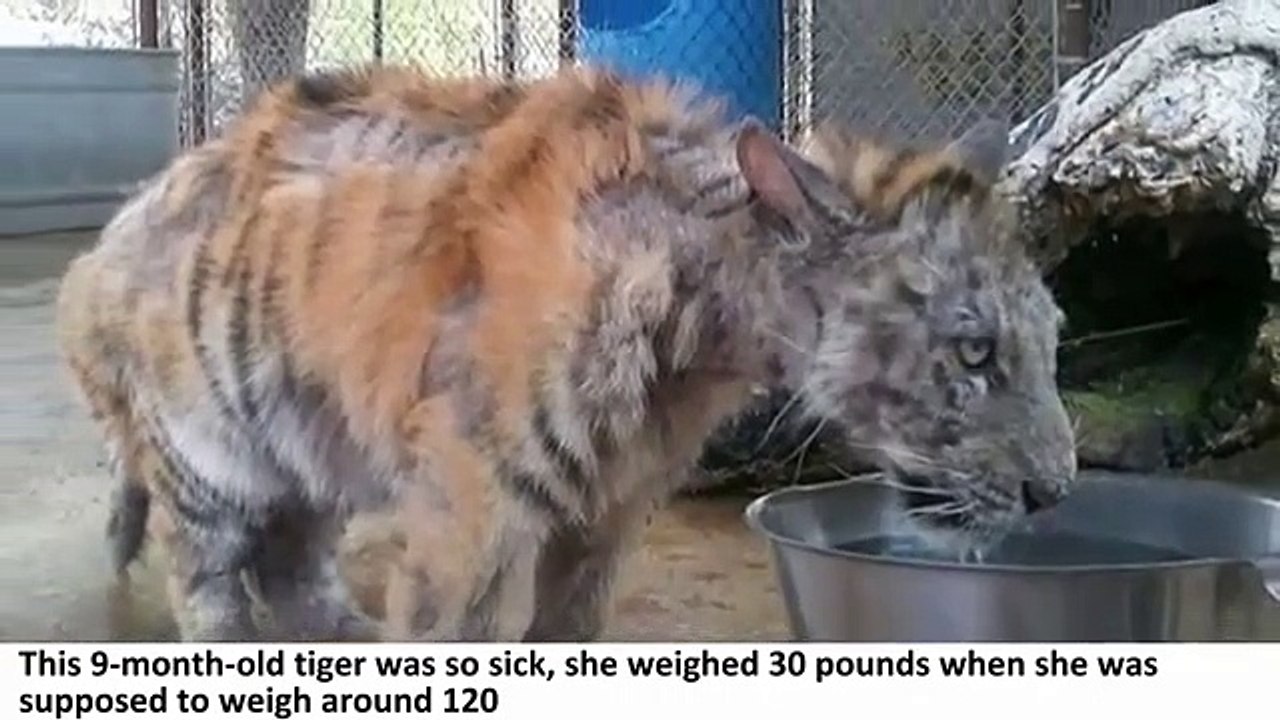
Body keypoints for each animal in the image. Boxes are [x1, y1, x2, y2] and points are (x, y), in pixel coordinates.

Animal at [55, 64, 1076, 641]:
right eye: (975, 351)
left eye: (1051, 338)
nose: (1055, 492)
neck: (699, 335)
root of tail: (102, 245)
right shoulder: (472, 511)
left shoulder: (607, 514)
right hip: (207, 460)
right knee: (209, 585)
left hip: (312, 456)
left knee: (292, 570)